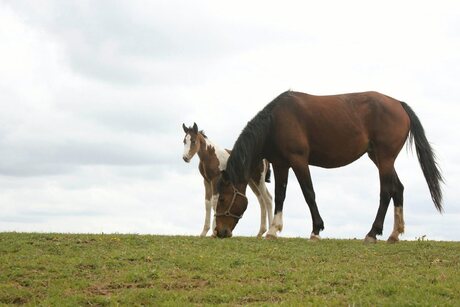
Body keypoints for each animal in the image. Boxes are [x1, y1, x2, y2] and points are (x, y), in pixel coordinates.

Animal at [217, 91, 444, 243]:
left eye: (223, 198)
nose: (220, 232)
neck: (276, 121)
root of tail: (399, 104)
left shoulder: (299, 161)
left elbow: (309, 193)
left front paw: (316, 230)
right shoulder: (282, 165)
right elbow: (280, 196)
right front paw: (273, 230)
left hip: (385, 159)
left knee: (387, 191)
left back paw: (372, 233)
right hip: (379, 158)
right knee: (398, 189)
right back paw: (394, 234)